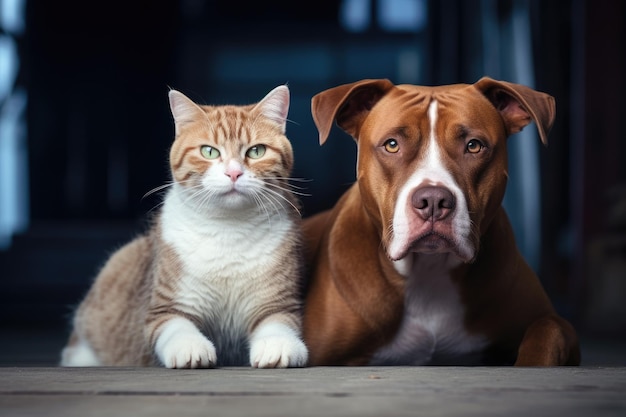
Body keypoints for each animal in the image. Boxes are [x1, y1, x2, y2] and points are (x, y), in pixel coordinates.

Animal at [59, 84, 308, 368]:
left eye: (256, 151)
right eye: (209, 151)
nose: (234, 173)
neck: (229, 228)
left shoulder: (277, 303)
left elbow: (278, 325)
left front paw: (278, 346)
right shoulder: (166, 308)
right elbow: (176, 328)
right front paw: (191, 348)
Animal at [300, 77, 576, 364]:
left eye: (474, 145)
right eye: (391, 144)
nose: (432, 201)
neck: (428, 269)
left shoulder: (550, 320)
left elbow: (548, 329)